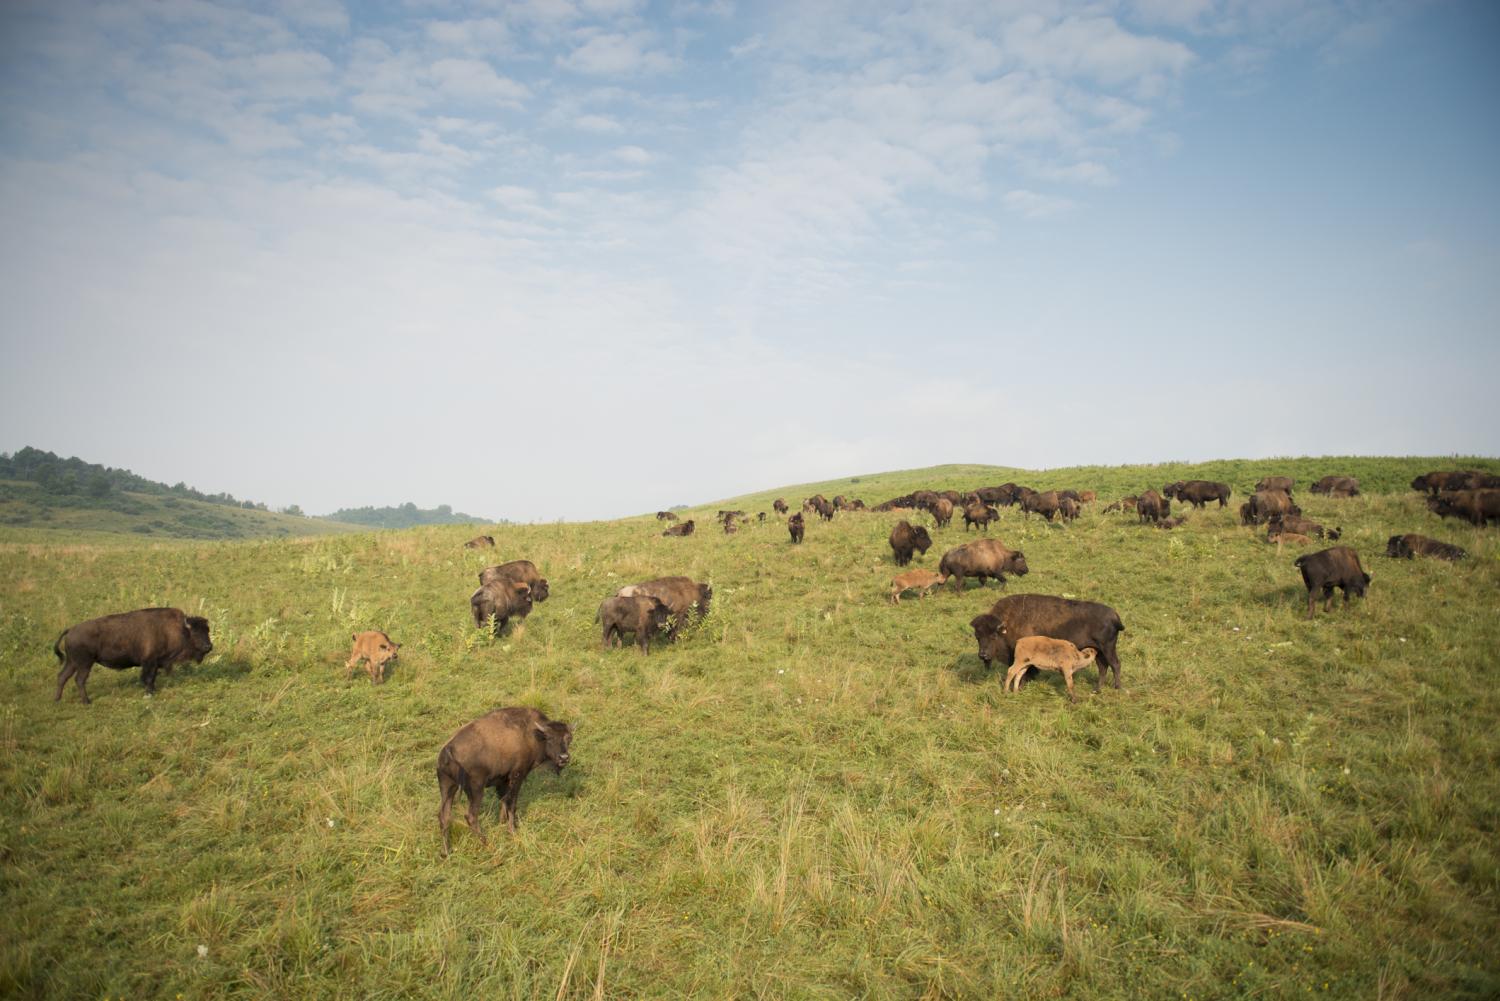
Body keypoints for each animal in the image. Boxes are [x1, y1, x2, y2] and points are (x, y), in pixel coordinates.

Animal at [53, 603, 214, 705]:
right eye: (195, 632)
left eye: (207, 630)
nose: (208, 646)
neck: (179, 628)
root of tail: (70, 630)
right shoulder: (149, 662)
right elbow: (148, 678)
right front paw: (149, 693)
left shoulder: (155, 663)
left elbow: (152, 679)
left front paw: (153, 691)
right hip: (85, 664)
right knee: (79, 680)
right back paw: (86, 702)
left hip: (72, 662)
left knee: (62, 677)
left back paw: (57, 700)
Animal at [438, 705, 576, 852]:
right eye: (549, 737)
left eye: (568, 738)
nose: (564, 757)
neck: (533, 734)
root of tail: (448, 749)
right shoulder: (517, 776)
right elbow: (512, 804)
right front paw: (512, 830)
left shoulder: (502, 781)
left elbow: (503, 800)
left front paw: (502, 822)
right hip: (476, 789)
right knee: (471, 816)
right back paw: (487, 843)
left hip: (448, 787)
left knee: (444, 816)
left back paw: (446, 851)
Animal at [972, 591, 1128, 693]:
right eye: (977, 636)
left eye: (993, 635)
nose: (983, 655)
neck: (1008, 624)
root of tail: (1115, 616)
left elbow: (1024, 672)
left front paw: (1021, 686)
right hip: (1099, 651)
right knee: (1103, 667)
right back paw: (1097, 690)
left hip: (1107, 649)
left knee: (1115, 665)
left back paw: (1117, 687)